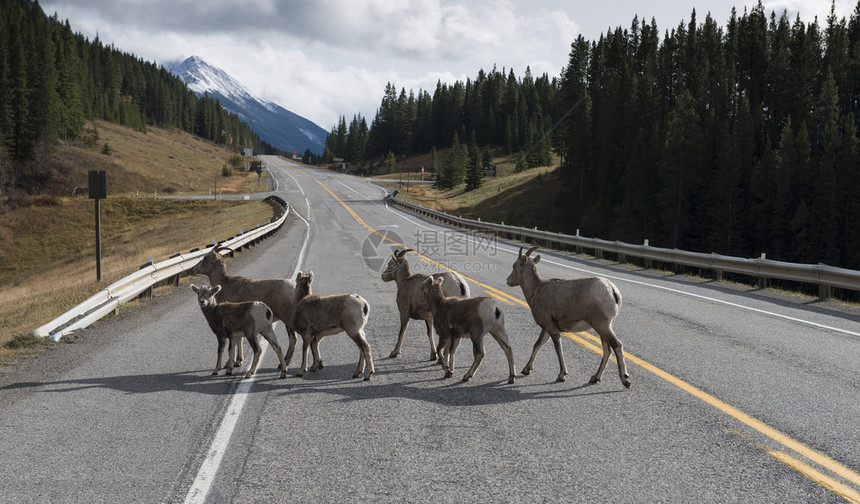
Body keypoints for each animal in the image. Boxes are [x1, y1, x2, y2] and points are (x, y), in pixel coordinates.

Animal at [504, 246, 632, 388]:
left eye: (514, 266)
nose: (508, 281)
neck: (536, 290)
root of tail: (612, 290)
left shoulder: (551, 327)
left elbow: (557, 347)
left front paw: (561, 375)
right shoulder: (547, 328)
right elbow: (538, 344)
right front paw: (526, 370)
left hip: (602, 326)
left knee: (616, 345)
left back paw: (625, 380)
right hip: (606, 327)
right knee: (607, 349)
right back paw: (595, 378)